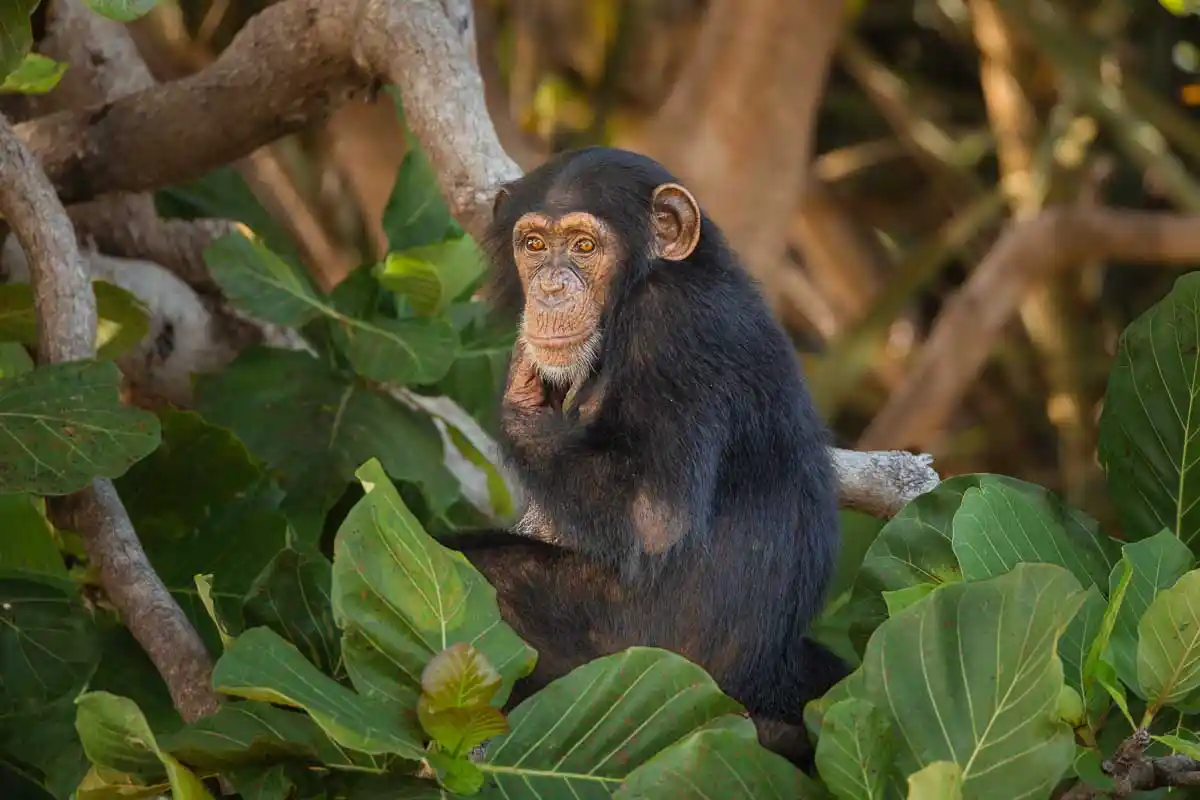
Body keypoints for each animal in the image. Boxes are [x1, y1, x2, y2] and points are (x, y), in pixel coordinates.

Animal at [438, 147, 847, 769]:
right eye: (533, 244)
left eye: (585, 246)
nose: (550, 288)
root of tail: (767, 688)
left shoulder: (674, 332)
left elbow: (655, 516)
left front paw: (521, 398)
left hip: (641, 658)